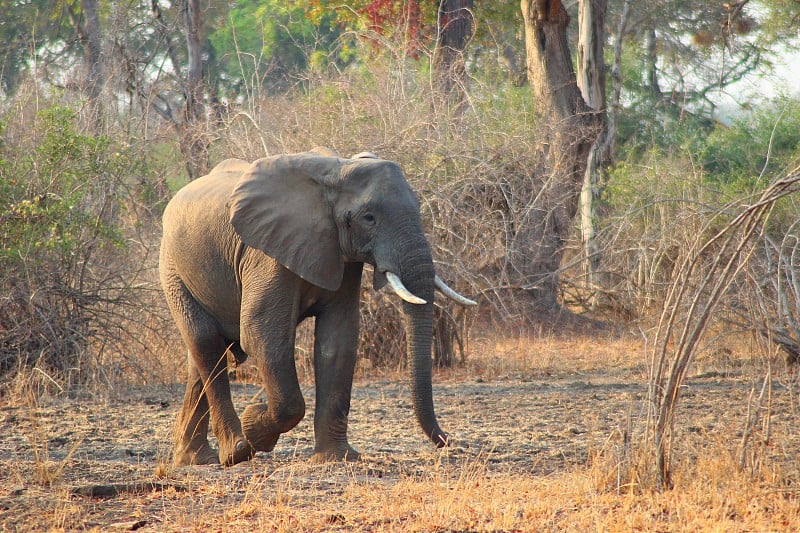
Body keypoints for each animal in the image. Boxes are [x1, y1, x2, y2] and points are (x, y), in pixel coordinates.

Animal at [159, 148, 478, 464]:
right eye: (369, 218)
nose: (448, 441)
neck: (336, 172)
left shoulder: (341, 256)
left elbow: (337, 341)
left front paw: (337, 458)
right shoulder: (266, 254)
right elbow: (262, 335)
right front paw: (256, 428)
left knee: (201, 358)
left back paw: (195, 459)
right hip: (173, 269)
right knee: (206, 344)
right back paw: (235, 451)